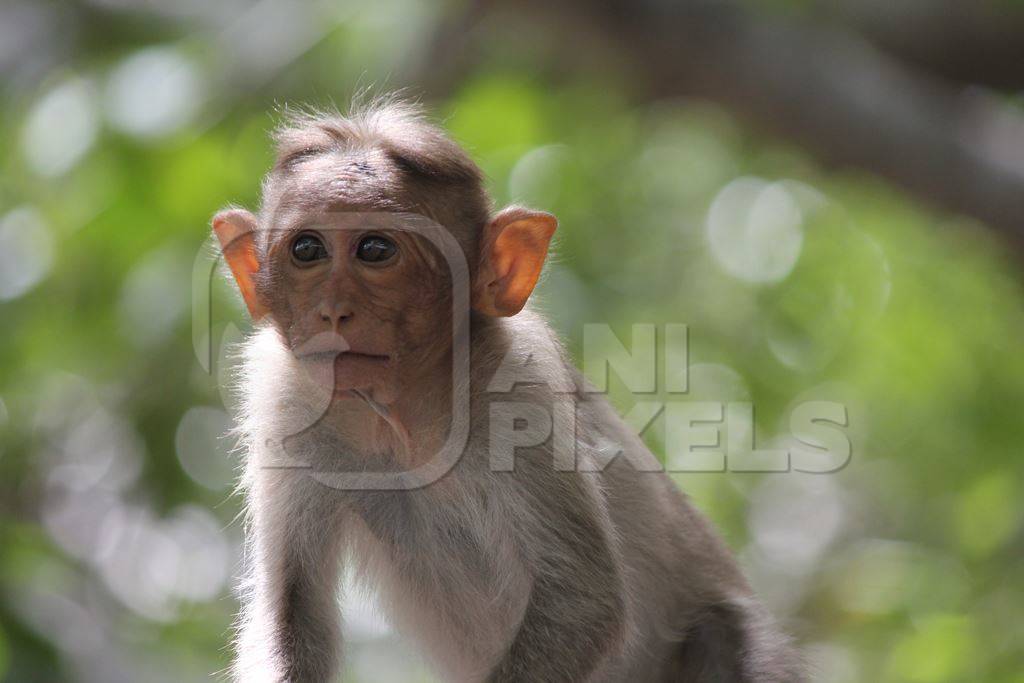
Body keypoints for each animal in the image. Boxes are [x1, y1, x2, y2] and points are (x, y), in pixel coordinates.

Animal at [211, 101, 802, 683]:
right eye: (307, 249)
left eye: (375, 249)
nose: (333, 310)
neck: (403, 420)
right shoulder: (284, 397)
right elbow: (294, 609)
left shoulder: (521, 387)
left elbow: (580, 601)